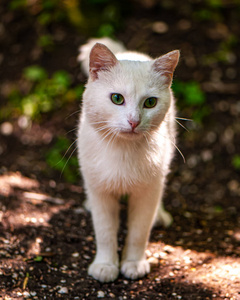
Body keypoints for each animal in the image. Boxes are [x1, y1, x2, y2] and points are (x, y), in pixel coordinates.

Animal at [77, 37, 178, 282]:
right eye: (117, 98)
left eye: (150, 102)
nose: (134, 121)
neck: (123, 150)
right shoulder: (101, 192)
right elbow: (104, 232)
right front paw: (105, 265)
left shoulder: (146, 193)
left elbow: (139, 232)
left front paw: (133, 263)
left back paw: (160, 215)